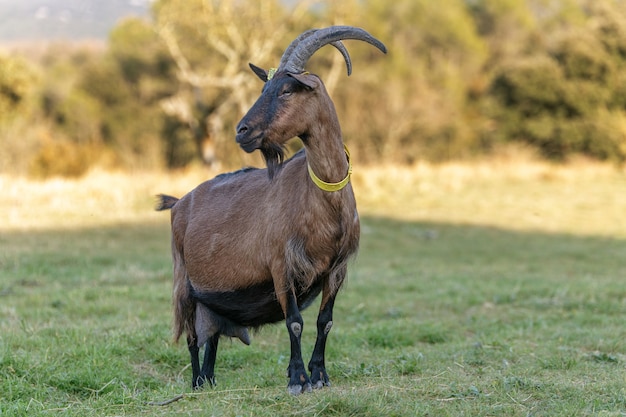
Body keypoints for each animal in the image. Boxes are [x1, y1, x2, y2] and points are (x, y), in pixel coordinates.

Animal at [156, 26, 386, 394]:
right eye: (265, 88)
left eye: (288, 89)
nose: (242, 131)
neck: (323, 202)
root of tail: (179, 202)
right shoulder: (282, 266)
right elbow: (295, 322)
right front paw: (297, 379)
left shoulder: (337, 268)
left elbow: (325, 321)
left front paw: (320, 375)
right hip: (184, 284)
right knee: (192, 336)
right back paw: (196, 383)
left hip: (214, 298)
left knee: (212, 337)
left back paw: (210, 380)